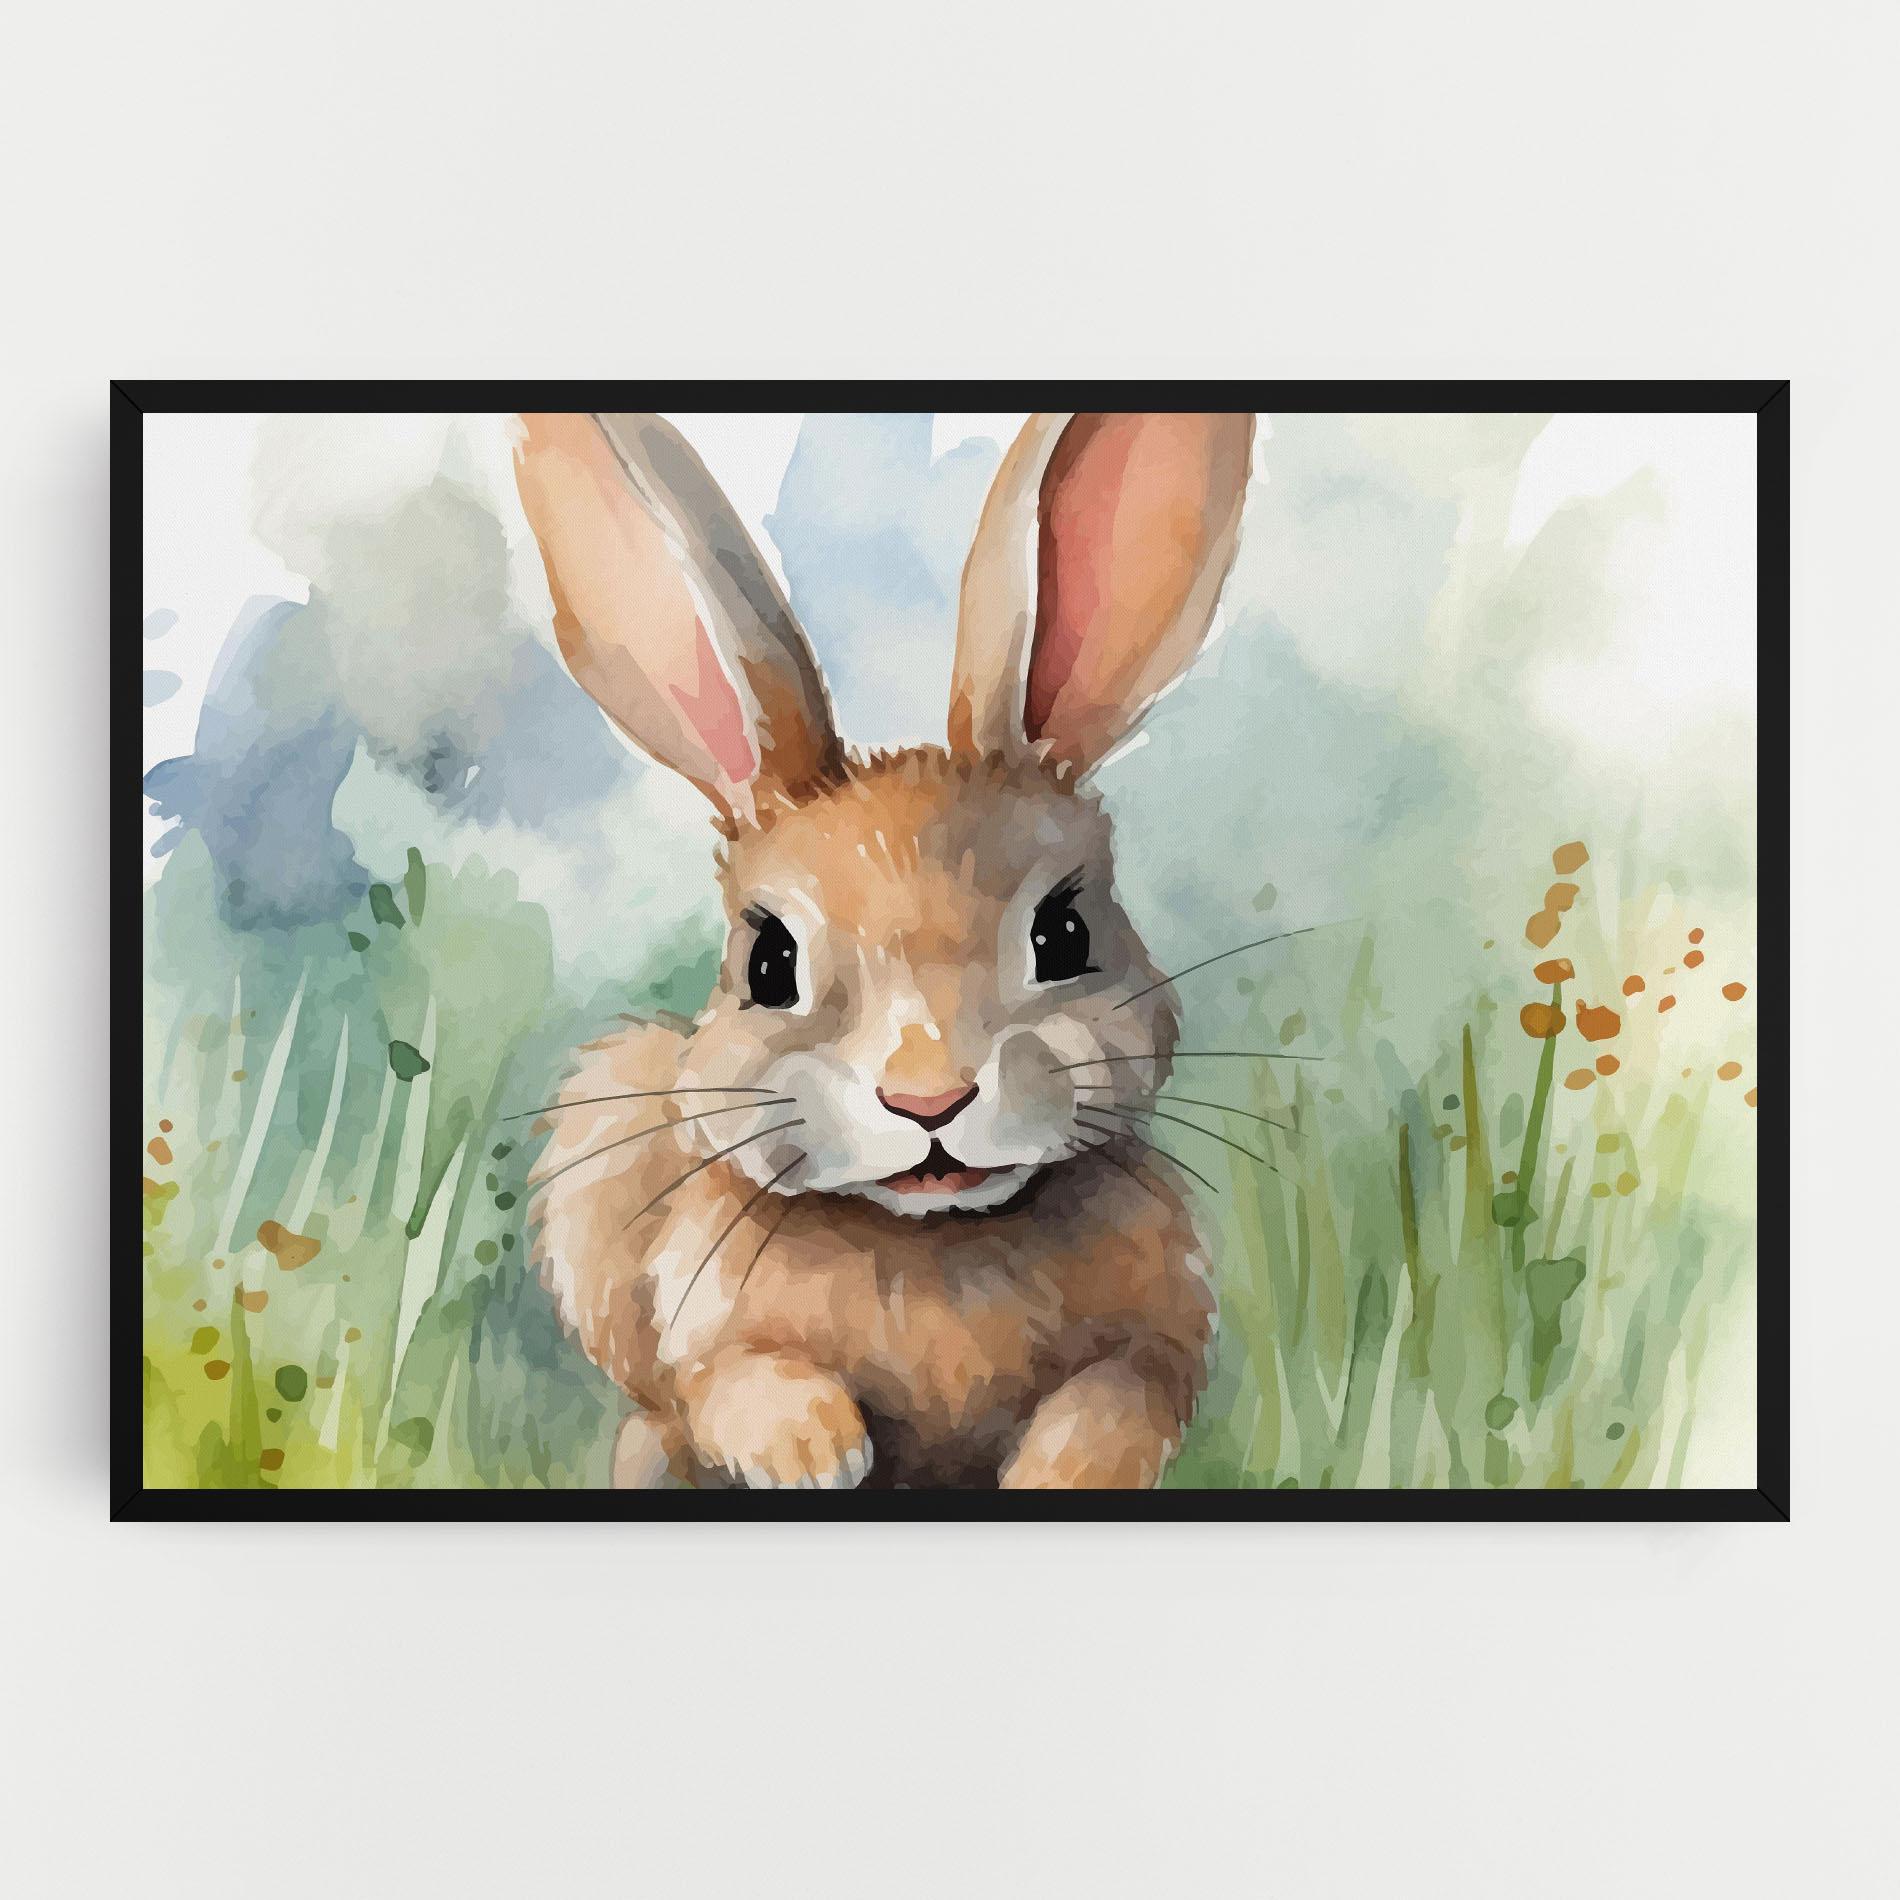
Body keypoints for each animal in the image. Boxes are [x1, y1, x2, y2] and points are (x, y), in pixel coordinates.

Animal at [513, 409, 1256, 1488]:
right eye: (769, 964)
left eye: (1063, 934)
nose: (928, 1098)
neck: (931, 1235)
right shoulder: (705, 1343)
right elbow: (732, 1379)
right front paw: (813, 1448)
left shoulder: (1158, 1346)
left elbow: (1120, 1401)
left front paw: (1054, 1473)